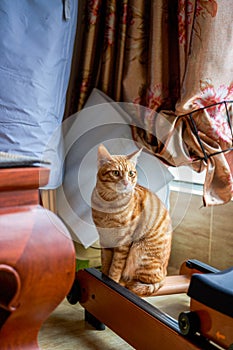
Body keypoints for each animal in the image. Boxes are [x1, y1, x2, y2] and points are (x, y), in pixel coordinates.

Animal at [91, 144, 173, 296]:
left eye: (131, 173)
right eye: (116, 173)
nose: (126, 182)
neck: (108, 203)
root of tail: (165, 274)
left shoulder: (123, 243)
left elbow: (116, 267)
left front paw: (112, 282)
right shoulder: (105, 239)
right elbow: (105, 262)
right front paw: (103, 278)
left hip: (139, 252)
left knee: (143, 280)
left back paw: (125, 282)